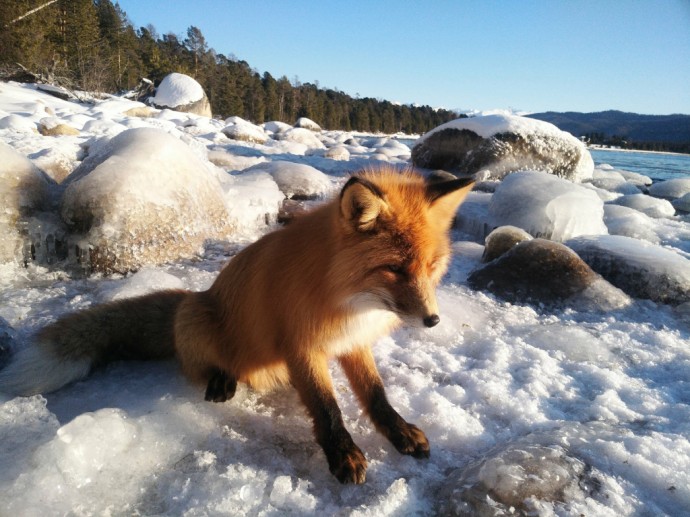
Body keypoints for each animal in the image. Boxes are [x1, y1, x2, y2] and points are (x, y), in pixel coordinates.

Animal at [0, 166, 470, 484]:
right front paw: (344, 454)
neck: (345, 298)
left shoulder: (351, 342)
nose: (432, 320)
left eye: (431, 266)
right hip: (195, 318)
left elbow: (376, 395)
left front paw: (399, 431)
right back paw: (221, 379)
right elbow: (327, 407)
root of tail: (195, 295)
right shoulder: (302, 344)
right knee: (206, 364)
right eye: (394, 268)